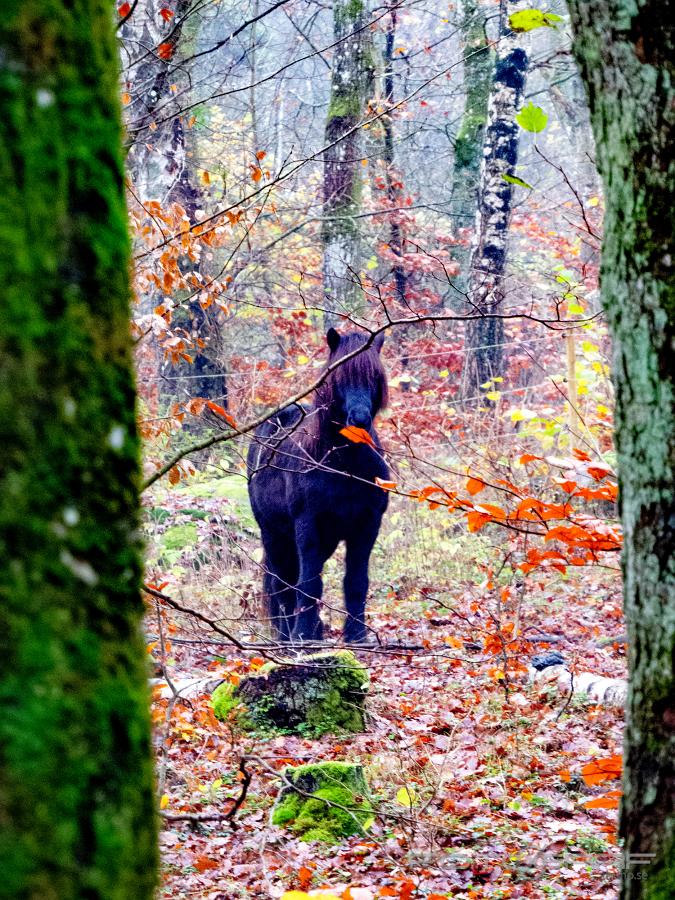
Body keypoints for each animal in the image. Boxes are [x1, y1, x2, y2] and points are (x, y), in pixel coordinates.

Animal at [248, 326, 388, 644]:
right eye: (338, 377)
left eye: (375, 377)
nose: (359, 420)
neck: (344, 465)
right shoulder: (308, 525)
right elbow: (309, 583)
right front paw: (302, 636)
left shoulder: (367, 526)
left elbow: (356, 581)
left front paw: (357, 636)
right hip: (274, 534)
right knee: (282, 581)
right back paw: (288, 635)